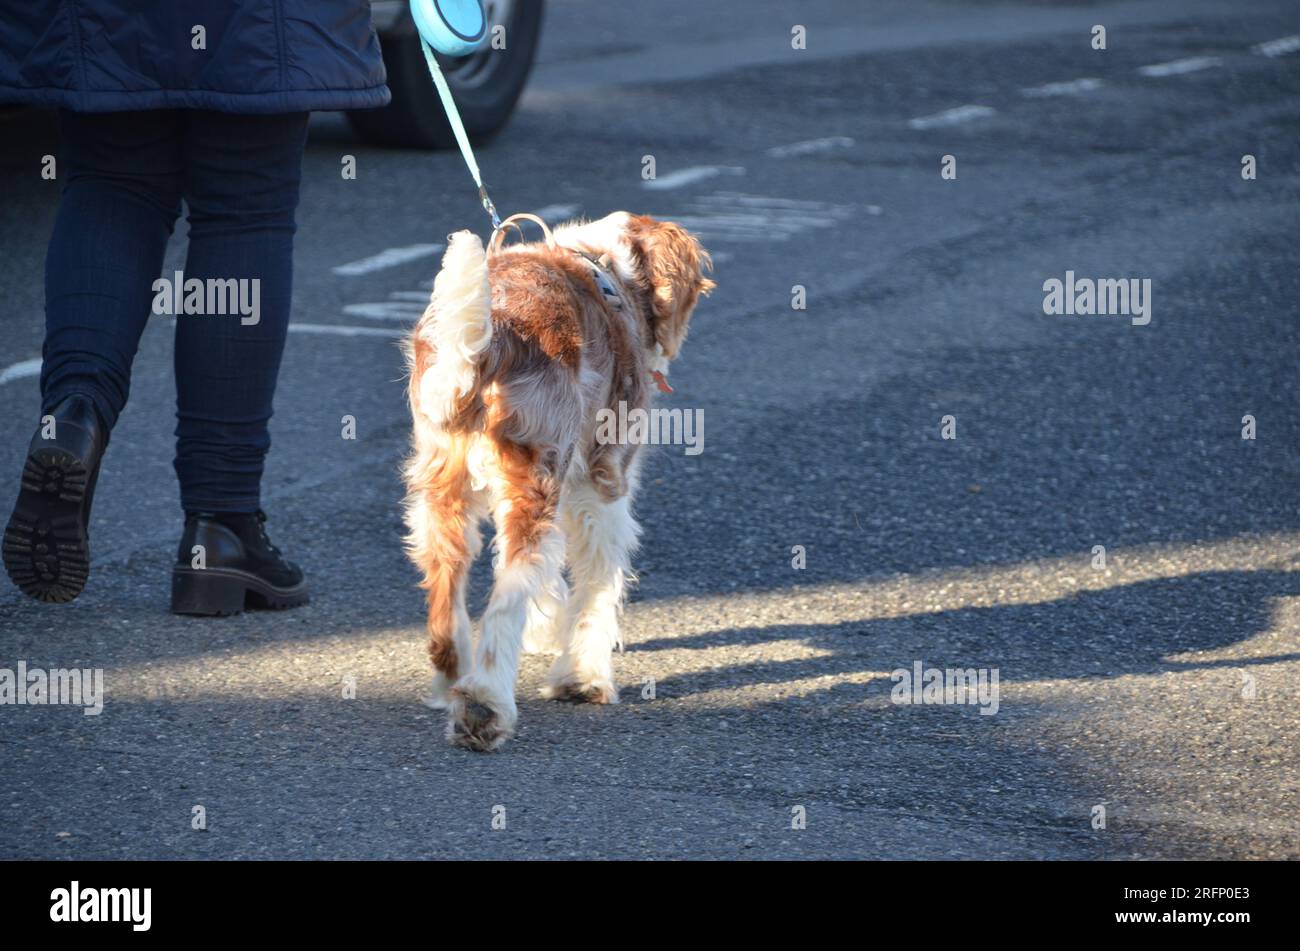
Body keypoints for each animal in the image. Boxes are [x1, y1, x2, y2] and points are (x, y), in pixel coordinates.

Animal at [403, 213, 717, 748]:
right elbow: (598, 584)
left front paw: (546, 633)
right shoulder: (601, 484)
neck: (608, 267)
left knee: (447, 590)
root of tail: (488, 346)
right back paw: (484, 706)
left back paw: (451, 683)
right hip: (536, 485)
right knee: (507, 598)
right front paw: (584, 678)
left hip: (443, 493)